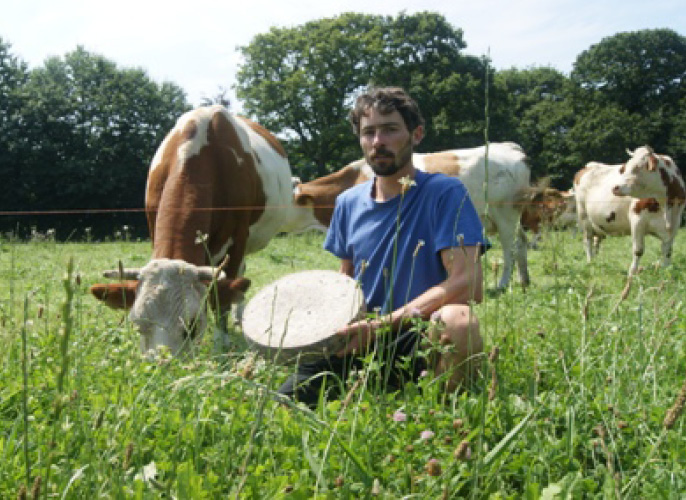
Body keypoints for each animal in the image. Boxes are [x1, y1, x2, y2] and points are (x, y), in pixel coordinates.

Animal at [90, 106, 296, 356]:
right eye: (138, 324)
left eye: (192, 325)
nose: (162, 363)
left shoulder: (238, 238)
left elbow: (220, 294)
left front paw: (221, 342)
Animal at [292, 142, 536, 290]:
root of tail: (508, 147)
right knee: (522, 242)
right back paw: (524, 280)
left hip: (505, 214)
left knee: (511, 247)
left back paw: (502, 284)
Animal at [576, 145, 684, 278]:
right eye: (625, 167)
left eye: (637, 167)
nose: (615, 187)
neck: (666, 206)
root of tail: (590, 166)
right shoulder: (637, 220)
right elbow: (638, 250)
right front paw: (632, 273)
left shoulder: (674, 224)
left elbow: (667, 252)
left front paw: (666, 272)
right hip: (584, 217)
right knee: (588, 240)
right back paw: (590, 262)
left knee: (596, 241)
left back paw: (596, 262)